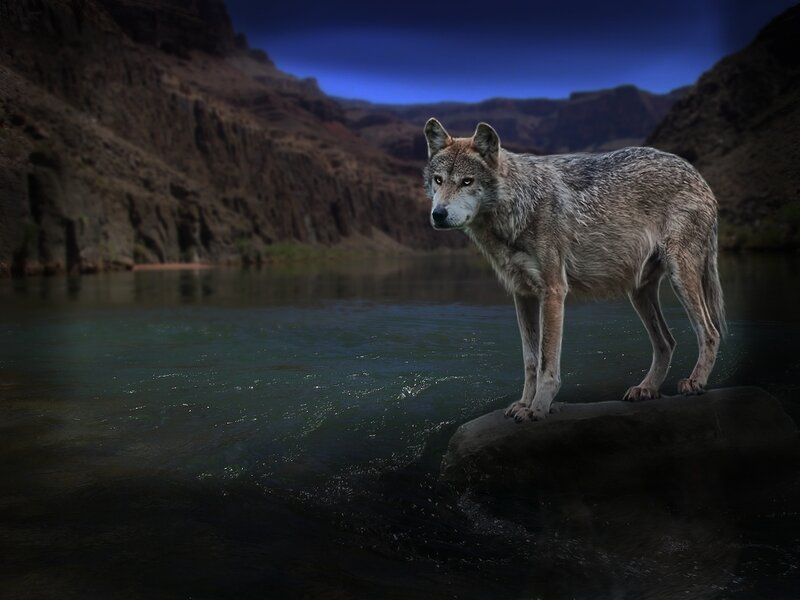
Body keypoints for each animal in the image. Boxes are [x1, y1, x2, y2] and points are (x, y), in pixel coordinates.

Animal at [422, 118, 726, 422]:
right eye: (438, 180)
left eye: (467, 181)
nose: (438, 214)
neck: (518, 206)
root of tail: (697, 174)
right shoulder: (523, 295)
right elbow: (530, 361)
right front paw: (524, 403)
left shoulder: (554, 291)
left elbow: (546, 363)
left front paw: (538, 408)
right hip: (639, 294)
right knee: (667, 342)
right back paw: (646, 389)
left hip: (680, 276)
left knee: (710, 332)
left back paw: (695, 383)